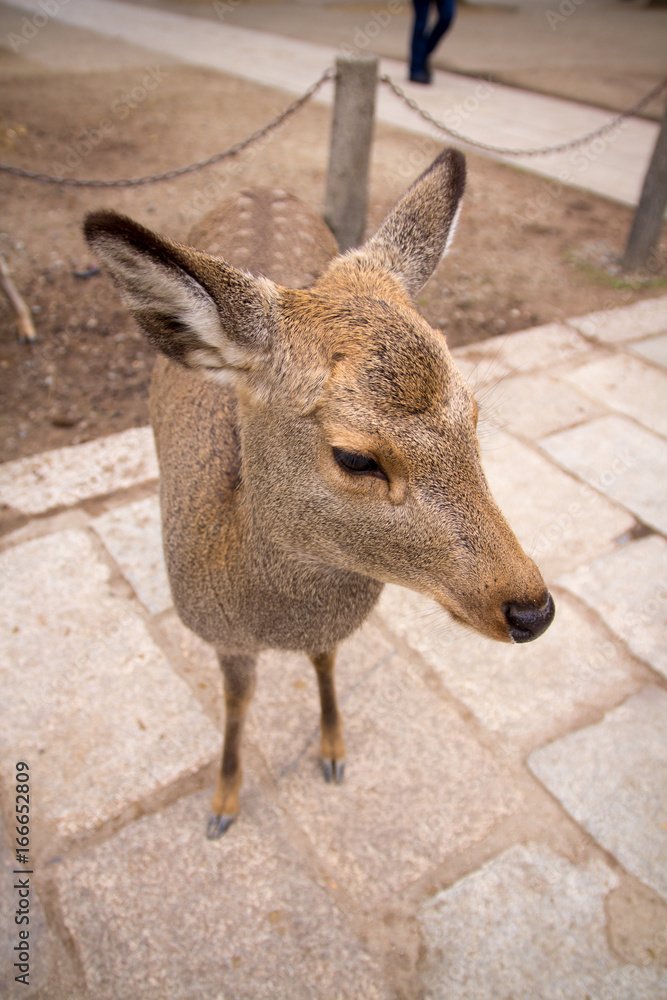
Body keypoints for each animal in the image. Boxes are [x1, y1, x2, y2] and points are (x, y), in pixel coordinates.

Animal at [84, 148, 554, 839]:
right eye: (355, 456)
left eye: (473, 416)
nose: (532, 611)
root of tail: (260, 188)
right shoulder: (220, 635)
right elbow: (236, 704)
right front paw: (222, 806)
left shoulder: (329, 631)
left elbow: (327, 664)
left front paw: (333, 751)